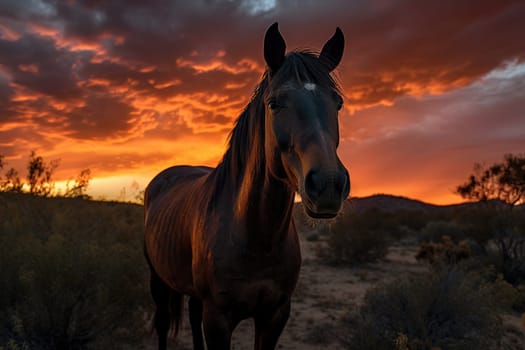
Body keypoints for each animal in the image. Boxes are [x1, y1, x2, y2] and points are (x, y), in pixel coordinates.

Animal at [143, 22, 348, 350]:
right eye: (274, 103)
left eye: (337, 104)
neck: (256, 236)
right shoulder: (218, 319)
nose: (328, 184)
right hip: (158, 279)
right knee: (163, 323)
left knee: (192, 314)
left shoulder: (275, 315)